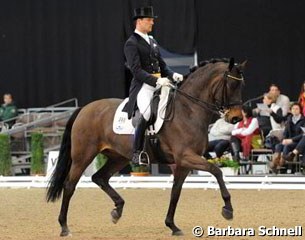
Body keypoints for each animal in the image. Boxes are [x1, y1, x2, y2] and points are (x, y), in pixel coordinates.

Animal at [47, 57, 245, 236]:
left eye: (241, 85)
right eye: (230, 85)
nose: (236, 118)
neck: (188, 110)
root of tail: (84, 109)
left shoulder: (182, 163)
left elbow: (175, 192)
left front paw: (172, 226)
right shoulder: (186, 156)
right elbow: (216, 171)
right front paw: (228, 209)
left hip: (118, 157)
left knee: (99, 178)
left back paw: (117, 210)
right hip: (83, 156)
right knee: (69, 185)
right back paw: (64, 227)